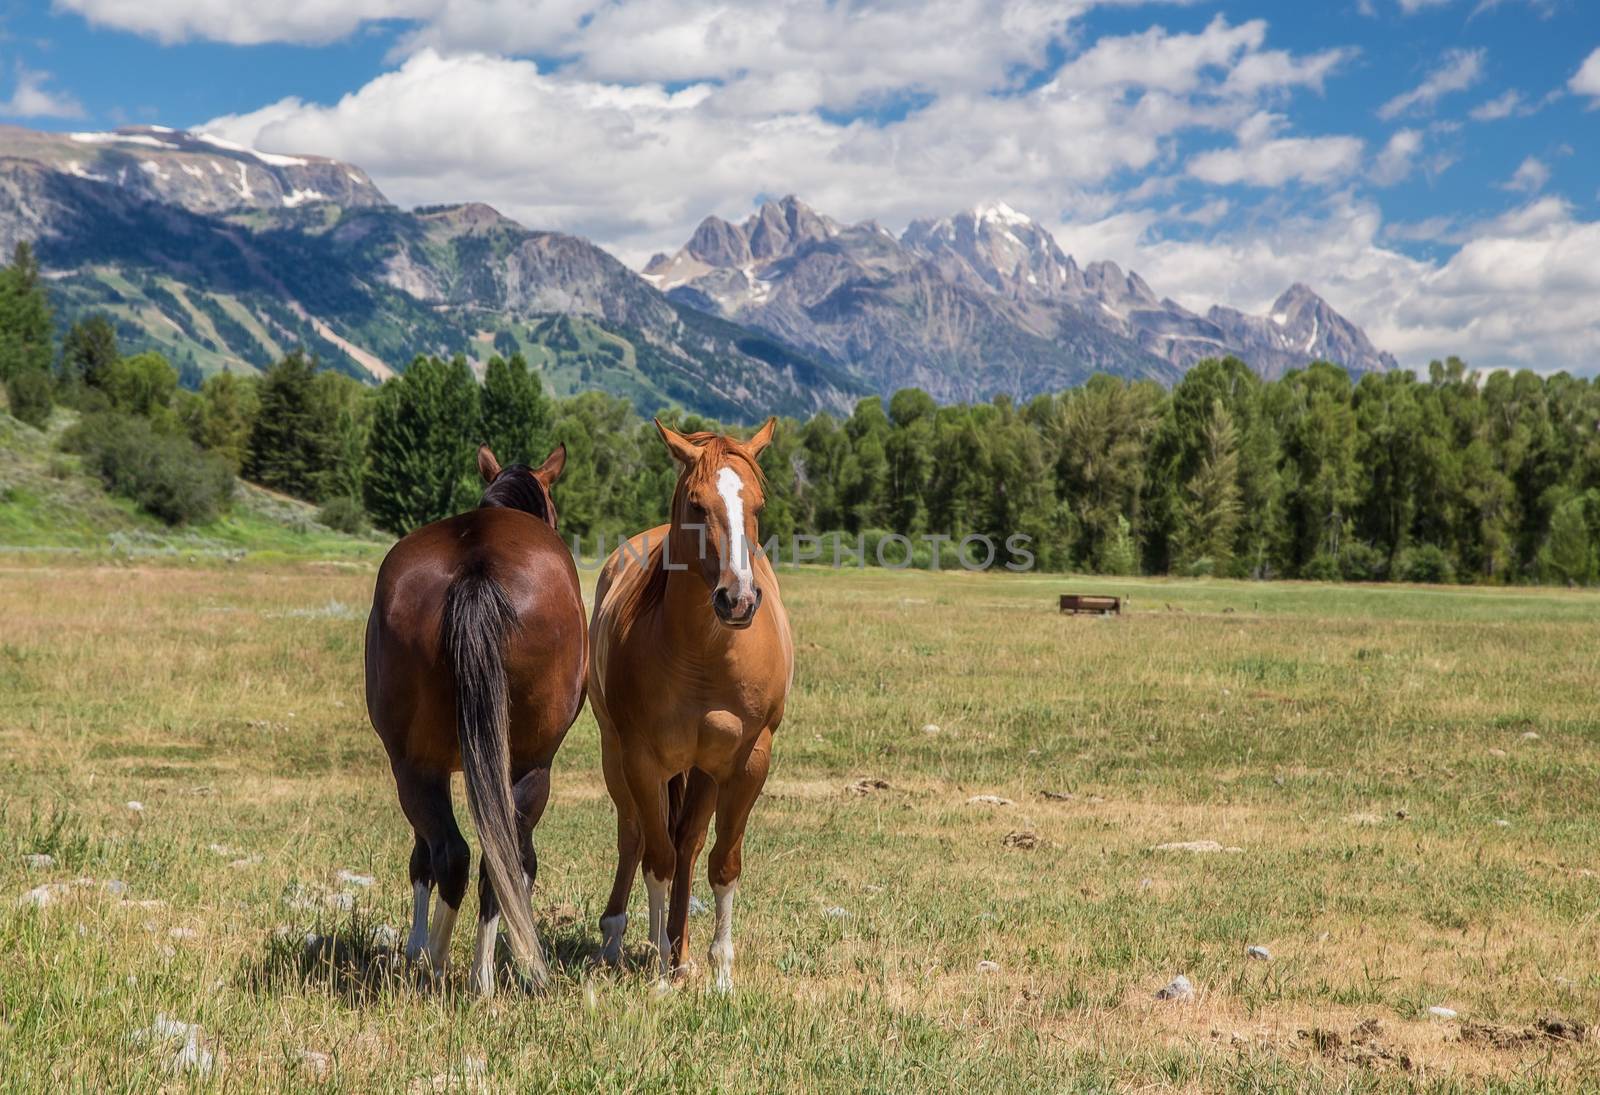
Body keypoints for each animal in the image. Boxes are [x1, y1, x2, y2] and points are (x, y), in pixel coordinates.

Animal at [364, 441, 588, 992]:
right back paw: (466, 971)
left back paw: (446, 965)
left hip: (414, 765)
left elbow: (433, 858)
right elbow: (519, 862)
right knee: (481, 858)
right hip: (529, 764)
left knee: (454, 854)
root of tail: (476, 567)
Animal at [588, 419, 793, 992]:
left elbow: (722, 862)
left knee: (689, 842)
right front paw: (659, 971)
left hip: (702, 770)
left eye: (758, 505)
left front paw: (720, 973)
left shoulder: (748, 761)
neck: (706, 652)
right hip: (616, 755)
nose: (738, 600)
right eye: (698, 505)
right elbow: (656, 858)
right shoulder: (641, 758)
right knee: (635, 835)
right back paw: (619, 939)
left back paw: (681, 950)